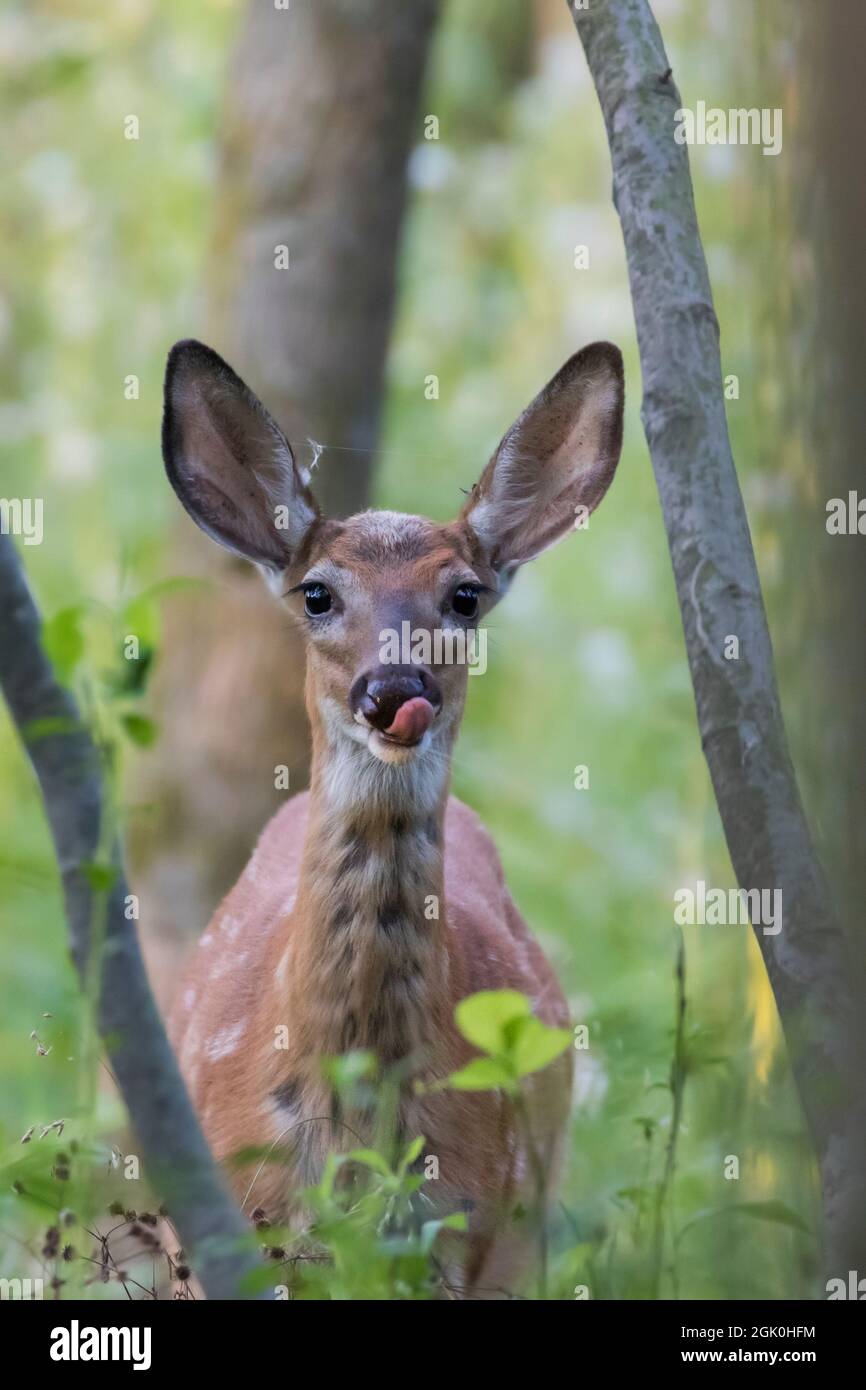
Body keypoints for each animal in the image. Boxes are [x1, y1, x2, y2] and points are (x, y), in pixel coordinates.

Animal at [161, 336, 624, 1297]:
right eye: (317, 594)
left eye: (465, 596)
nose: (394, 690)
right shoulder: (225, 1221)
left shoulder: (470, 1226)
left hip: (527, 1225)